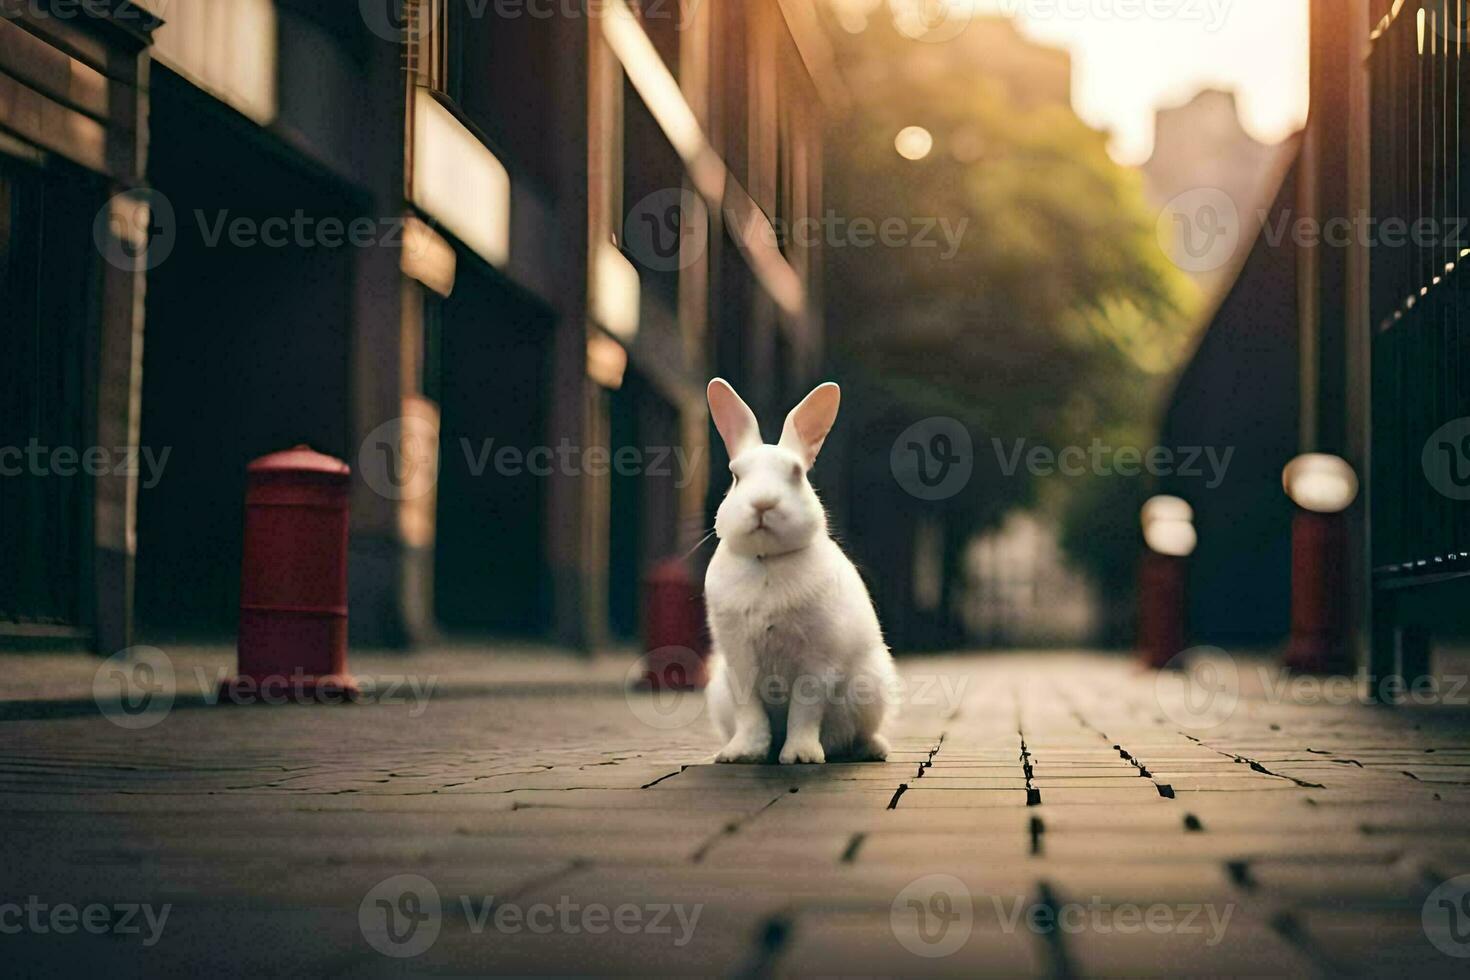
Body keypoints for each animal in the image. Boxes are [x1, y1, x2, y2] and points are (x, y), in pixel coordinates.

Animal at [699, 379, 893, 764]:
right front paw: (744, 753)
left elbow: (805, 710)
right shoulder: (739, 661)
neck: (767, 560)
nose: (763, 504)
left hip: (871, 688)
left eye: (797, 474)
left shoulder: (817, 659)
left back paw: (874, 749)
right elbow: (750, 713)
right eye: (736, 476)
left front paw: (801, 756)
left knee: (859, 733)